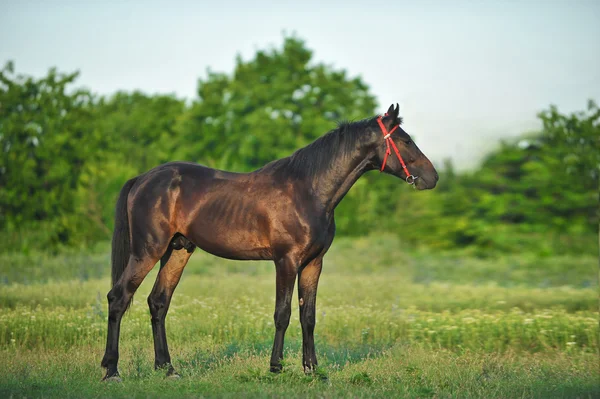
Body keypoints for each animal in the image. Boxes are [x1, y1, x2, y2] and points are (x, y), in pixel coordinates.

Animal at [97, 104, 436, 382]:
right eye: (405, 140)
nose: (432, 178)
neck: (309, 191)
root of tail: (142, 179)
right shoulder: (286, 261)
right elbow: (282, 314)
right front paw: (276, 367)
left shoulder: (313, 263)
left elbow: (308, 316)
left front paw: (312, 370)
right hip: (147, 251)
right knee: (118, 298)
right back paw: (112, 371)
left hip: (178, 251)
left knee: (158, 302)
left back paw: (167, 369)